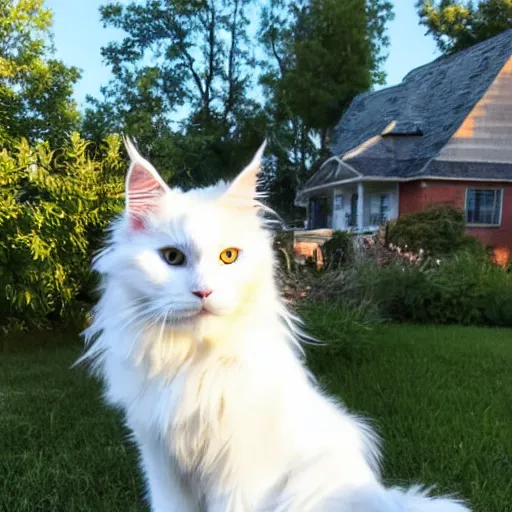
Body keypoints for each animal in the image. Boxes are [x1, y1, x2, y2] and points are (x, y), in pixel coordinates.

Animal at [79, 141, 468, 512]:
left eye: (229, 256)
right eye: (172, 257)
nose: (204, 292)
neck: (194, 361)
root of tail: (387, 499)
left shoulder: (237, 472)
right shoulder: (161, 461)